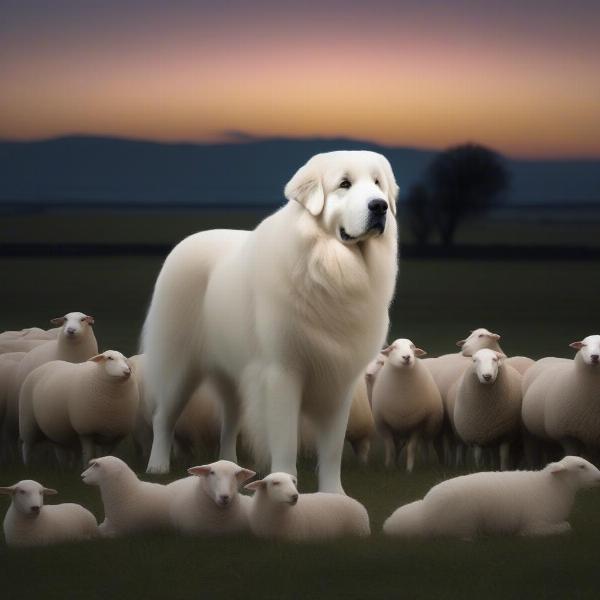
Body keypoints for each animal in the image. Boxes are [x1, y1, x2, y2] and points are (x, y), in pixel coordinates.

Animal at [141, 150, 398, 492]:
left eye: (378, 183)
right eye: (345, 184)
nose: (380, 206)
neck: (329, 267)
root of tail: (184, 244)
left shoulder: (339, 380)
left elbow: (332, 448)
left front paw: (334, 494)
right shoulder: (283, 372)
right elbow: (286, 440)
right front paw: (285, 485)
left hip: (233, 374)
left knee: (230, 422)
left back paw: (229, 465)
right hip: (180, 367)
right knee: (164, 417)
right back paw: (157, 466)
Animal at [372, 338, 442, 474]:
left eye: (412, 347)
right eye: (393, 347)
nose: (406, 357)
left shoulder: (417, 425)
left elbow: (411, 448)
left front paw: (409, 470)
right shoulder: (385, 425)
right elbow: (390, 448)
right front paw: (389, 468)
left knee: (423, 446)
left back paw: (425, 463)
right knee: (396, 447)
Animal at [384, 454, 600, 540]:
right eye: (581, 466)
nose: (599, 476)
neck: (554, 487)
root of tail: (425, 513)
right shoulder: (535, 525)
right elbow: (566, 527)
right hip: (463, 524)